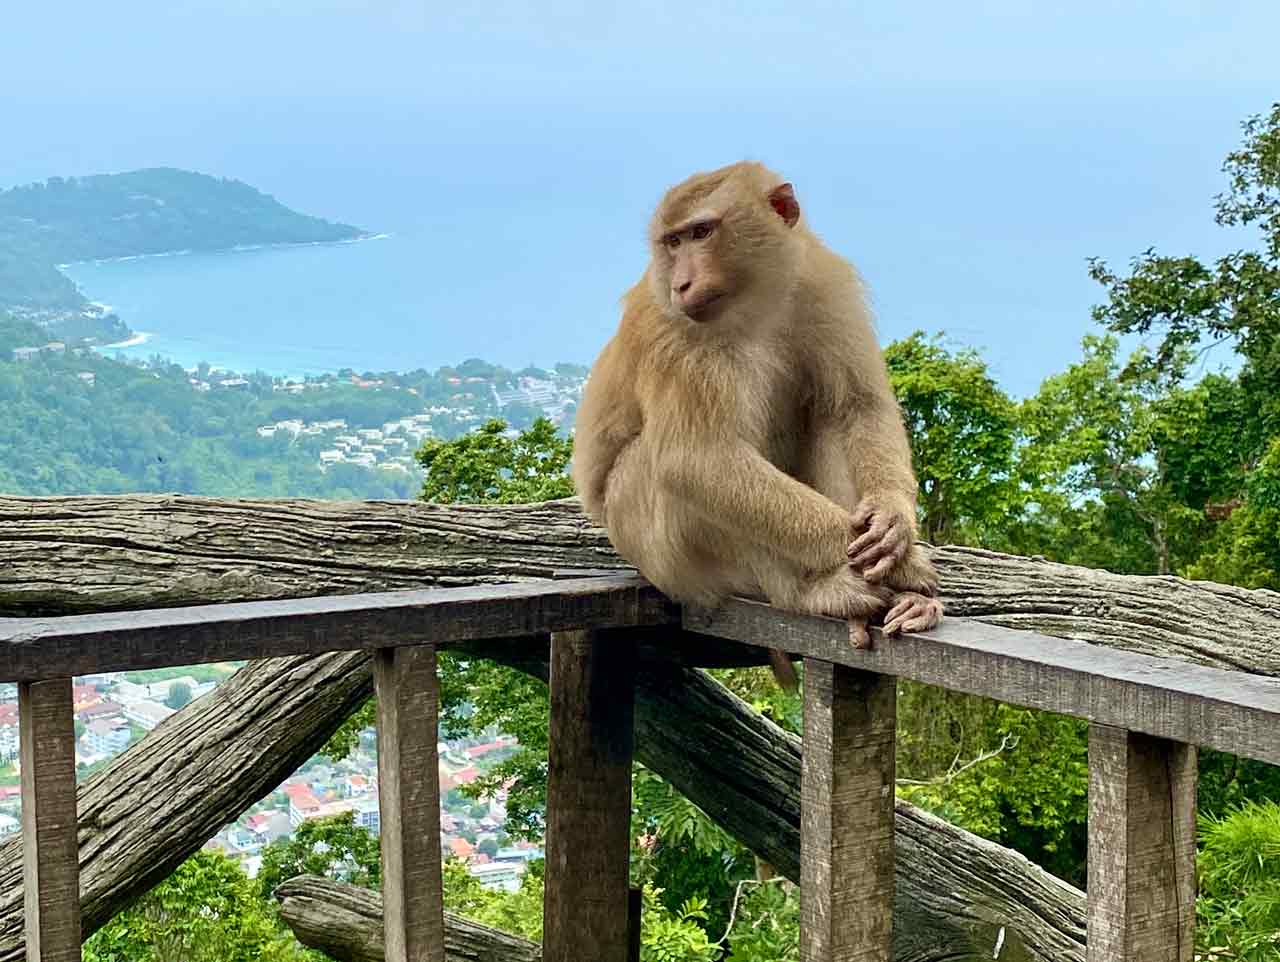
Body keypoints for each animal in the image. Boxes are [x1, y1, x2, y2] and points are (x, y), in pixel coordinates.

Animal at [572, 162, 942, 683]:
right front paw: (905, 565)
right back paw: (810, 592)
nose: (681, 284)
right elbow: (701, 460)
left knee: (826, 414)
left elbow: (857, 405)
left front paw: (893, 524)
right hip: (662, 554)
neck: (754, 300)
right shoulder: (673, 328)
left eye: (701, 232)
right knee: (668, 473)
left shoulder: (823, 280)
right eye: (672, 242)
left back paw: (904, 601)